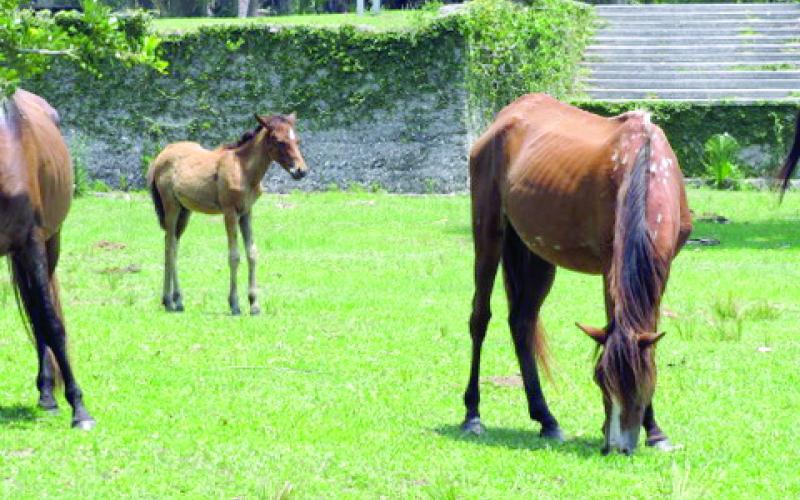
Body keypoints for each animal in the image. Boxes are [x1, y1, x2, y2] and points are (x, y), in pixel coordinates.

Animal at [0, 89, 95, 430]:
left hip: (48, 243)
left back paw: (48, 394)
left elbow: (51, 322)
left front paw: (79, 409)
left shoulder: (32, 243)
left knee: (39, 313)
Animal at [147, 113, 308, 315]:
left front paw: (254, 304)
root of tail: (160, 155)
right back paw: (169, 301)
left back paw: (176, 299)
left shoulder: (246, 212)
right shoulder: (230, 211)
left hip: (185, 211)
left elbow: (252, 253)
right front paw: (235, 304)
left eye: (297, 140)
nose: (301, 170)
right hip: (171, 207)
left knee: (172, 243)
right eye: (279, 141)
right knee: (170, 247)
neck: (244, 169)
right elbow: (234, 256)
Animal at [462, 94, 692, 454]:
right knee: (480, 317)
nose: (618, 447)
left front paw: (655, 432)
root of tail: (506, 115)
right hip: (488, 232)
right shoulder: (610, 268)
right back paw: (472, 415)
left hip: (536, 253)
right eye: (601, 379)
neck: (644, 165)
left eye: (642, 384)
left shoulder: (664, 266)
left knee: (522, 322)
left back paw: (546, 419)